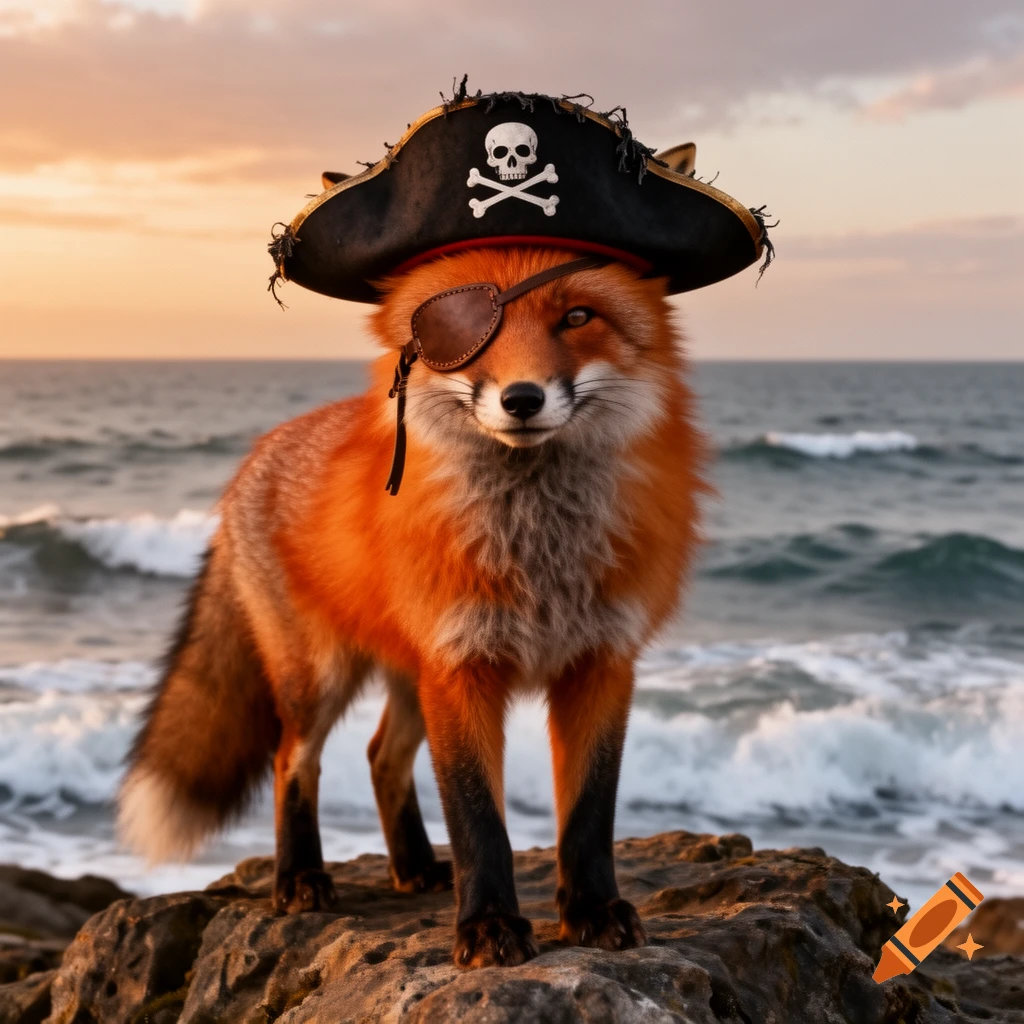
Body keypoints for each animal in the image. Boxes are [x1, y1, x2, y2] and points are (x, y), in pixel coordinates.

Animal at [118, 244, 707, 968]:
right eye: (462, 328)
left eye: (577, 316)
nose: (522, 398)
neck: (539, 554)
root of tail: (255, 459)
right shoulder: (459, 668)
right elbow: (478, 817)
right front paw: (488, 926)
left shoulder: (601, 663)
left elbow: (589, 814)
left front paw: (592, 911)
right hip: (320, 677)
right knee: (293, 760)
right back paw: (300, 878)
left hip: (409, 677)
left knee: (381, 757)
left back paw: (416, 868)